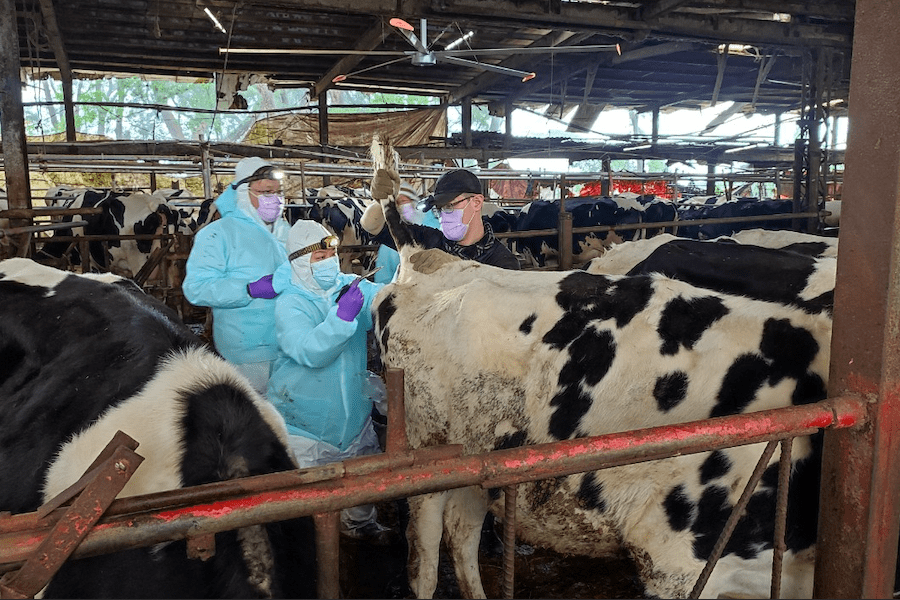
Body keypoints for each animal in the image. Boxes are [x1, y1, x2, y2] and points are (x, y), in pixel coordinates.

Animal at [370, 190, 832, 596]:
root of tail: (426, 259)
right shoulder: (675, 561)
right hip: (426, 451)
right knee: (425, 558)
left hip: (478, 455)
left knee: (462, 533)